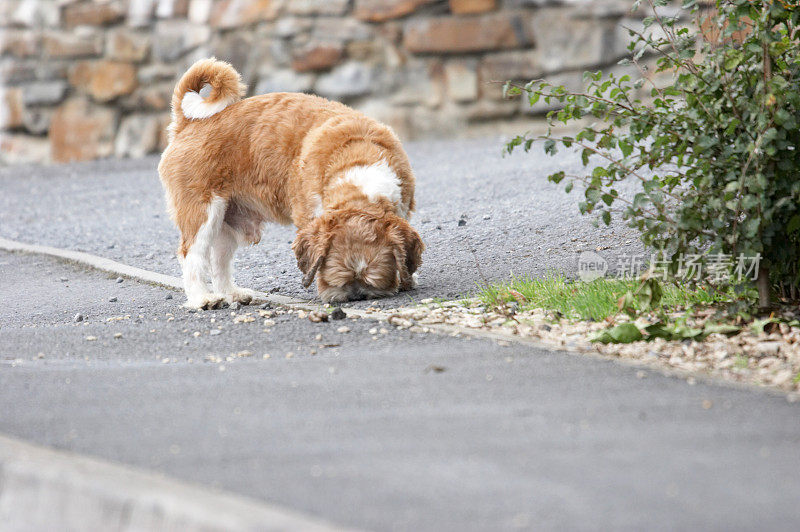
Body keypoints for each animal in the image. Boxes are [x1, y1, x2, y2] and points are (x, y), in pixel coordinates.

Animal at [156, 57, 424, 308]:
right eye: (332, 273)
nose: (356, 294)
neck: (357, 161)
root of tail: (189, 124)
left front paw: (407, 277)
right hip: (203, 213)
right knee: (192, 255)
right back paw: (202, 298)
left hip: (229, 223)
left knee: (219, 260)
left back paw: (231, 293)